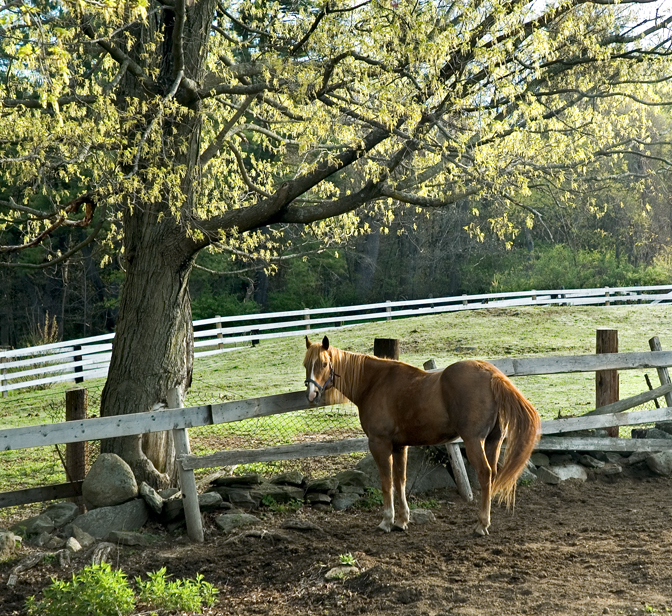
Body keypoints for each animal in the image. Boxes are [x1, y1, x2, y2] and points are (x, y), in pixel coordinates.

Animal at [304, 336, 540, 536]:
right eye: (306, 364)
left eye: (323, 363)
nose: (311, 395)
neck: (374, 383)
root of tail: (492, 374)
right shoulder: (399, 446)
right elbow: (400, 480)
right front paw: (401, 521)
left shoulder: (380, 444)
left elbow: (386, 482)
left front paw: (387, 521)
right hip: (493, 441)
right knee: (491, 476)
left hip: (474, 441)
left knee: (484, 473)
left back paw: (481, 525)